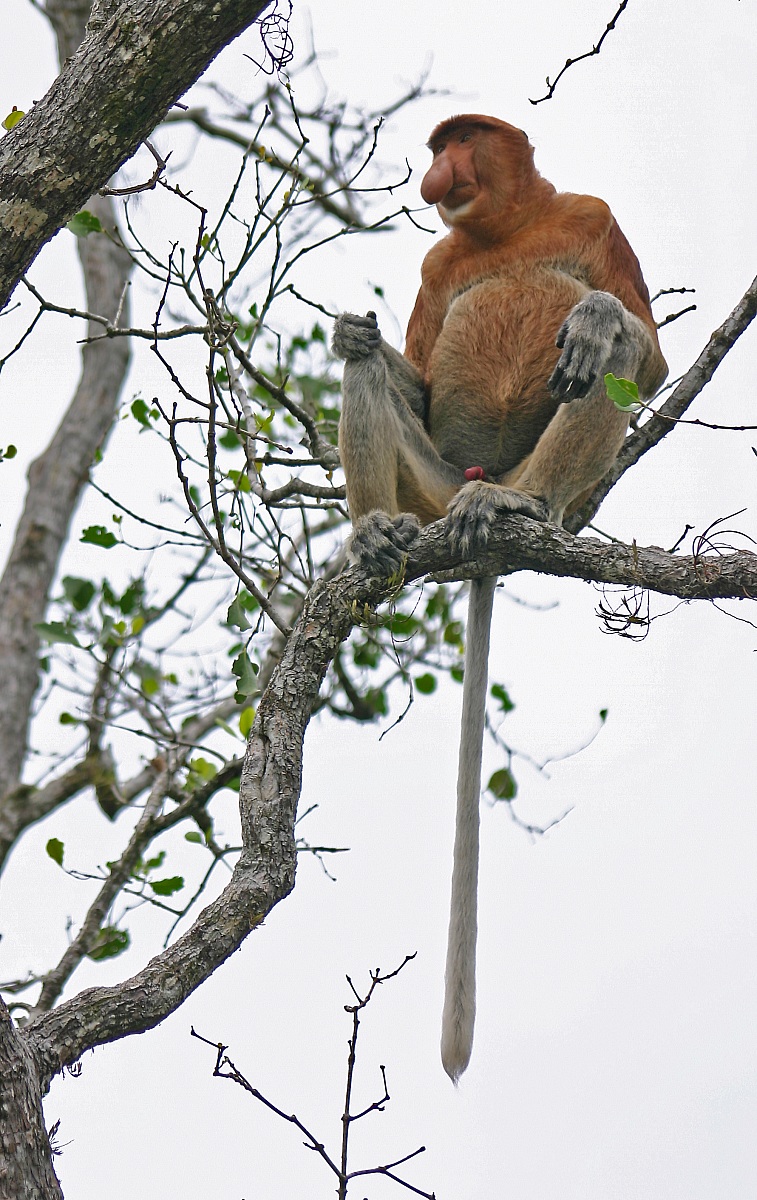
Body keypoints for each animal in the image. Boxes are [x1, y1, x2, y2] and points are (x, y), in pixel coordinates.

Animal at [332, 115, 667, 1083]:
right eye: (436, 147)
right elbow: (407, 365)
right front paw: (350, 329)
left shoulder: (593, 215)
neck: (504, 229)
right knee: (372, 377)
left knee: (612, 363)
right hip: (431, 482)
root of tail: (474, 483)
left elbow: (644, 349)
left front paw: (595, 318)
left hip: (517, 477)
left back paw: (524, 507)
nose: (436, 173)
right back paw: (374, 532)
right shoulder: (438, 263)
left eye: (463, 141)